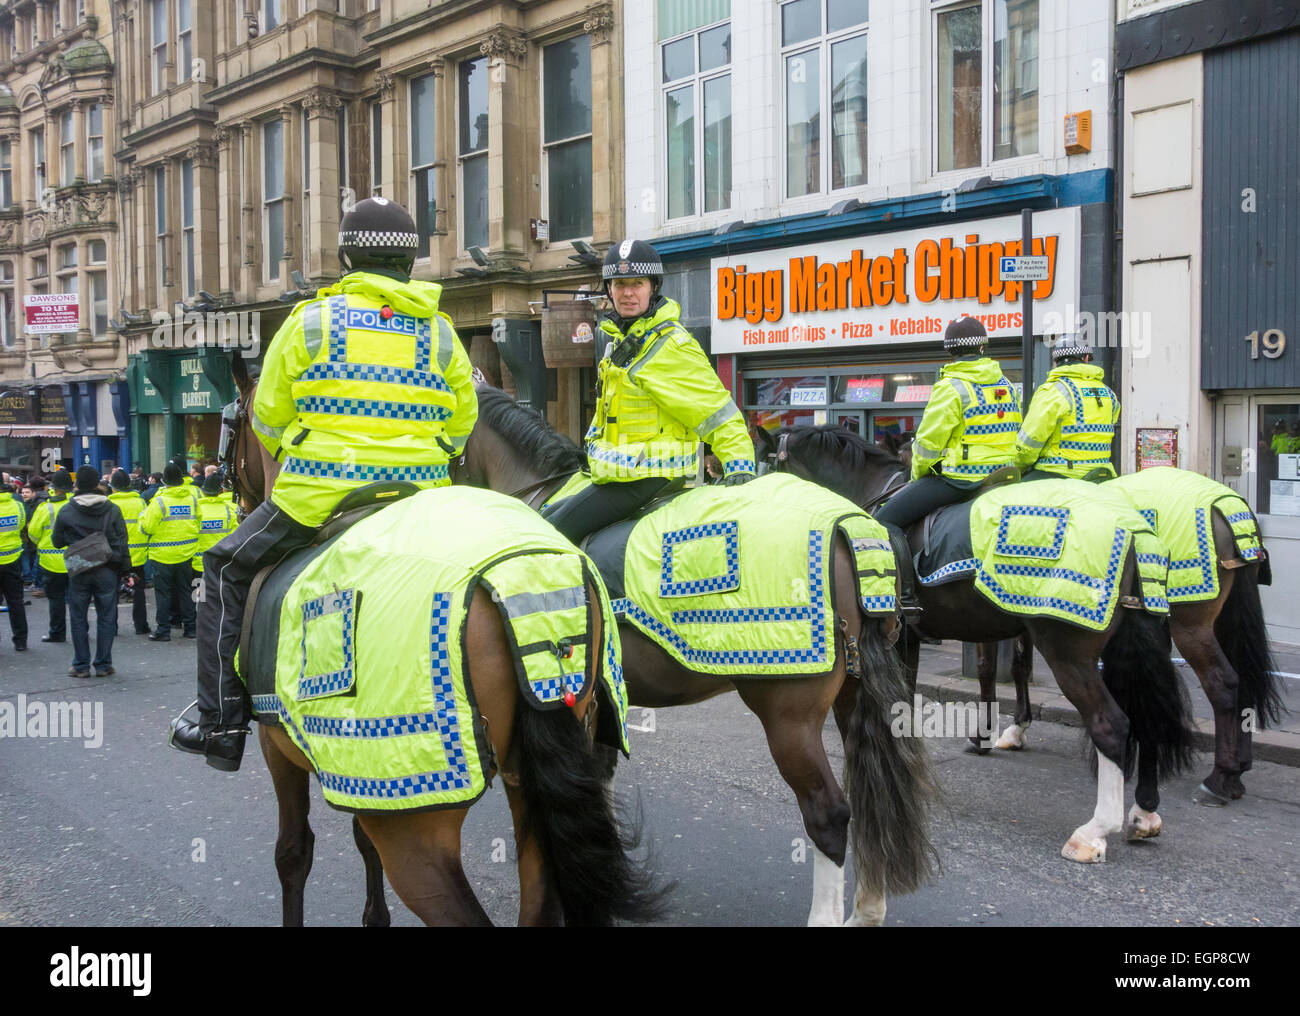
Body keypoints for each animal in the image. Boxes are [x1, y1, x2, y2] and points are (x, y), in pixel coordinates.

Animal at [454, 387, 935, 925]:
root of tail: (849, 528)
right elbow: (596, 779)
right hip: (853, 694)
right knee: (870, 787)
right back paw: (868, 908)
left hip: (789, 715)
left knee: (828, 814)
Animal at [759, 426, 1196, 862]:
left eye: (763, 462)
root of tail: (1129, 525)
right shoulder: (916, 637)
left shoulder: (900, 639)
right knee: (1146, 714)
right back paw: (1144, 814)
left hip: (1067, 649)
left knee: (1112, 725)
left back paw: (1094, 832)